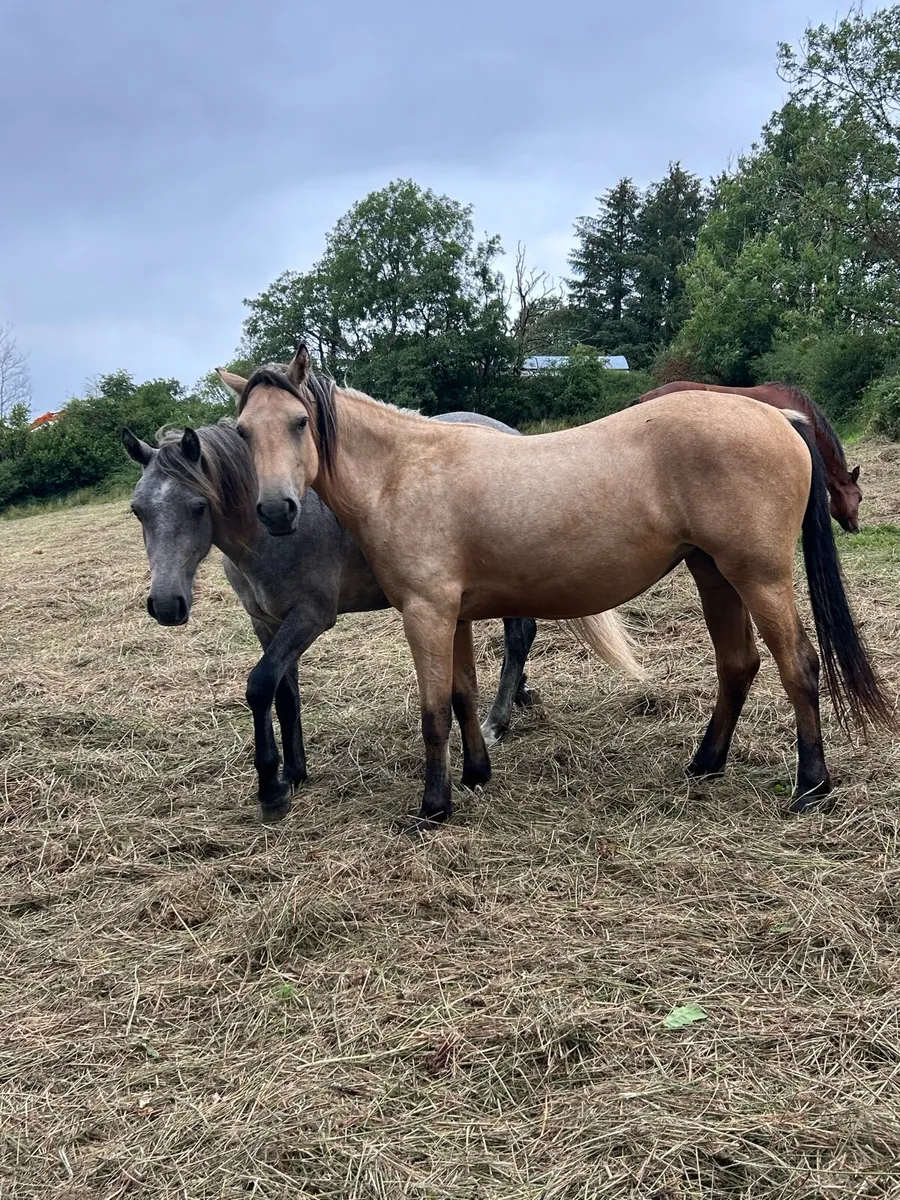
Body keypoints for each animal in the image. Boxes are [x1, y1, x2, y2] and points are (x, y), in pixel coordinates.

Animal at [121, 414, 640, 821]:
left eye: (198, 506)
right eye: (137, 510)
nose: (166, 605)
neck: (272, 530)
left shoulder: (309, 618)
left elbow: (260, 686)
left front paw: (271, 789)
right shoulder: (266, 623)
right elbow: (286, 695)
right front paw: (295, 773)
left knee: (519, 637)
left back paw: (498, 720)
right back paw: (516, 702)